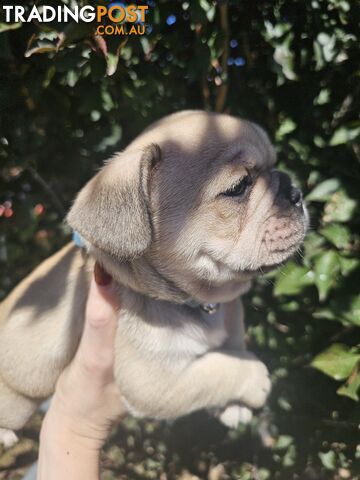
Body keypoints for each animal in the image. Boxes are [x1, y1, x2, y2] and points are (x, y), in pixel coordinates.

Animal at [0, 110, 310, 444]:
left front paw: (234, 407)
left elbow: (232, 346)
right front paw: (254, 379)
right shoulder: (156, 380)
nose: (295, 191)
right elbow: (218, 370)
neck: (200, 300)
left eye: (275, 164)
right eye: (239, 186)